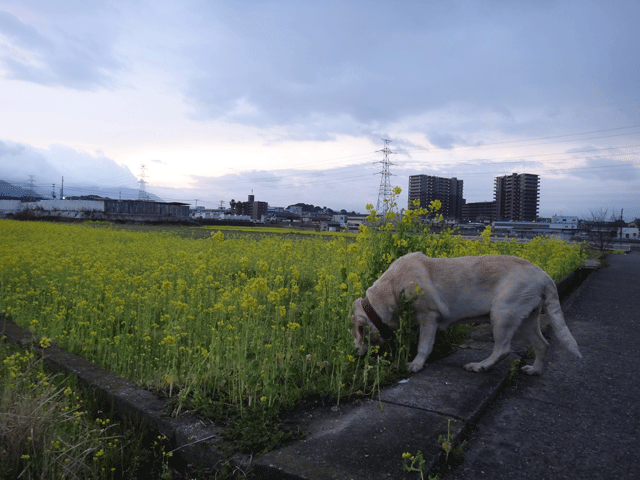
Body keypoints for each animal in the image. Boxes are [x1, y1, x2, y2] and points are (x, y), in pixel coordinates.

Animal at [348, 251, 584, 376]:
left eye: (356, 333)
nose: (353, 352)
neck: (391, 287)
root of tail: (544, 275)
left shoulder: (429, 316)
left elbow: (424, 345)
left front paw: (415, 364)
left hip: (502, 312)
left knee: (503, 349)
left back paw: (480, 366)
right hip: (527, 318)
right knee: (543, 344)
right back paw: (534, 370)